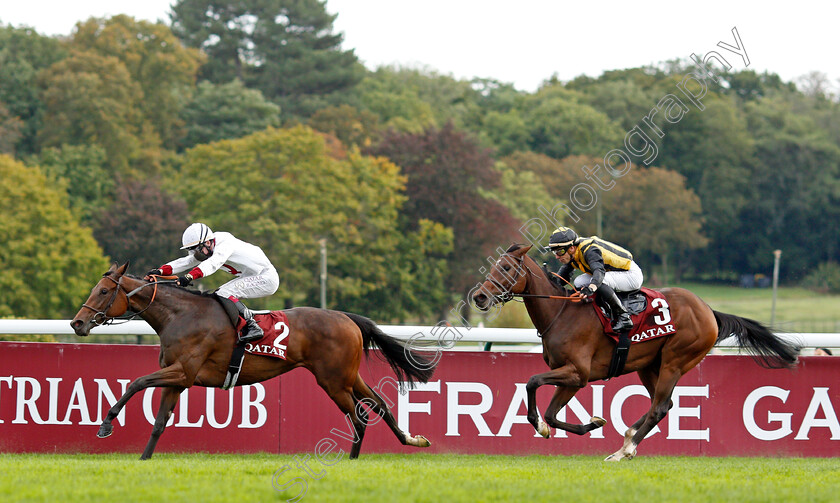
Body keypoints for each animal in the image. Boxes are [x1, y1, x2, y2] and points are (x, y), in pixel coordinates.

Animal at [69, 264, 436, 460]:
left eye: (104, 291)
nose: (77, 323)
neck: (181, 315)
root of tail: (346, 317)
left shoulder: (182, 371)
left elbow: (136, 382)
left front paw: (106, 424)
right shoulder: (179, 379)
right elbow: (159, 422)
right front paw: (144, 459)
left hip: (333, 381)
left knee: (359, 417)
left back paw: (351, 460)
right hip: (347, 376)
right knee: (379, 404)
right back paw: (411, 440)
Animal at [472, 246, 800, 462]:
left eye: (506, 268)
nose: (479, 297)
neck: (561, 312)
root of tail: (709, 311)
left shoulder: (577, 372)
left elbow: (531, 382)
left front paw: (541, 424)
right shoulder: (573, 378)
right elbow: (552, 414)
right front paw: (591, 423)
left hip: (675, 361)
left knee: (659, 406)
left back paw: (625, 450)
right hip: (649, 365)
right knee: (664, 403)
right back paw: (627, 438)